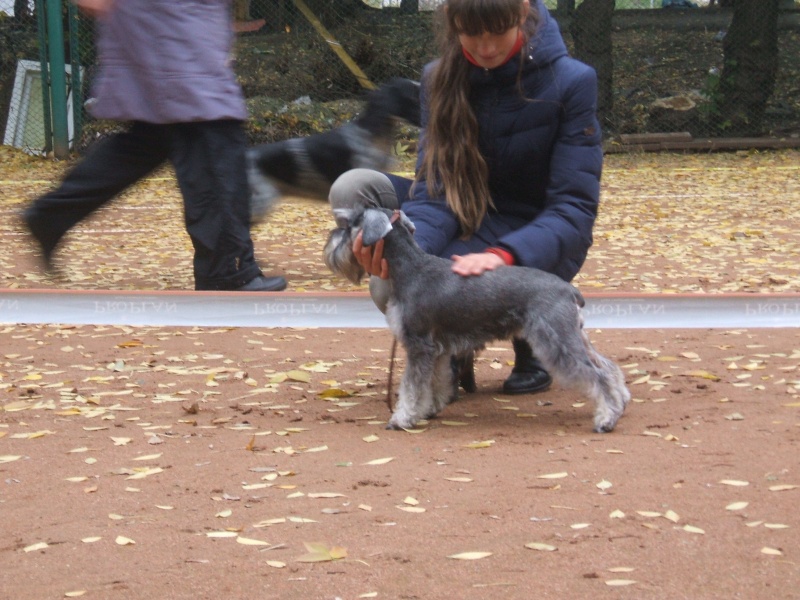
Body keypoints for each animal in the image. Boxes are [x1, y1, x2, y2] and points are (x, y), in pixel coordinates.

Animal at [324, 206, 631, 433]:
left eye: (348, 225)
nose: (330, 243)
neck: (410, 268)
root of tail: (569, 290)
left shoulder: (418, 345)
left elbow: (412, 386)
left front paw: (402, 418)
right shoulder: (437, 350)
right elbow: (435, 381)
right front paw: (428, 410)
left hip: (557, 342)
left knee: (598, 375)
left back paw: (606, 419)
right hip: (574, 336)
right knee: (608, 366)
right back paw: (621, 401)